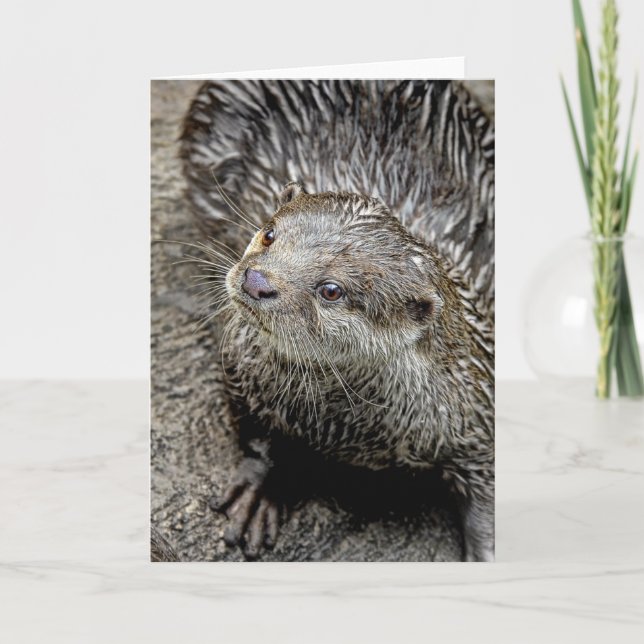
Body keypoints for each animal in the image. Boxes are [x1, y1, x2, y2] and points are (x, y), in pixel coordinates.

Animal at [180, 80, 494, 561]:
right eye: (269, 233)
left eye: (331, 290)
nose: (256, 280)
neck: (347, 433)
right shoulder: (241, 366)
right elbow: (258, 433)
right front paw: (259, 490)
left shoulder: (477, 408)